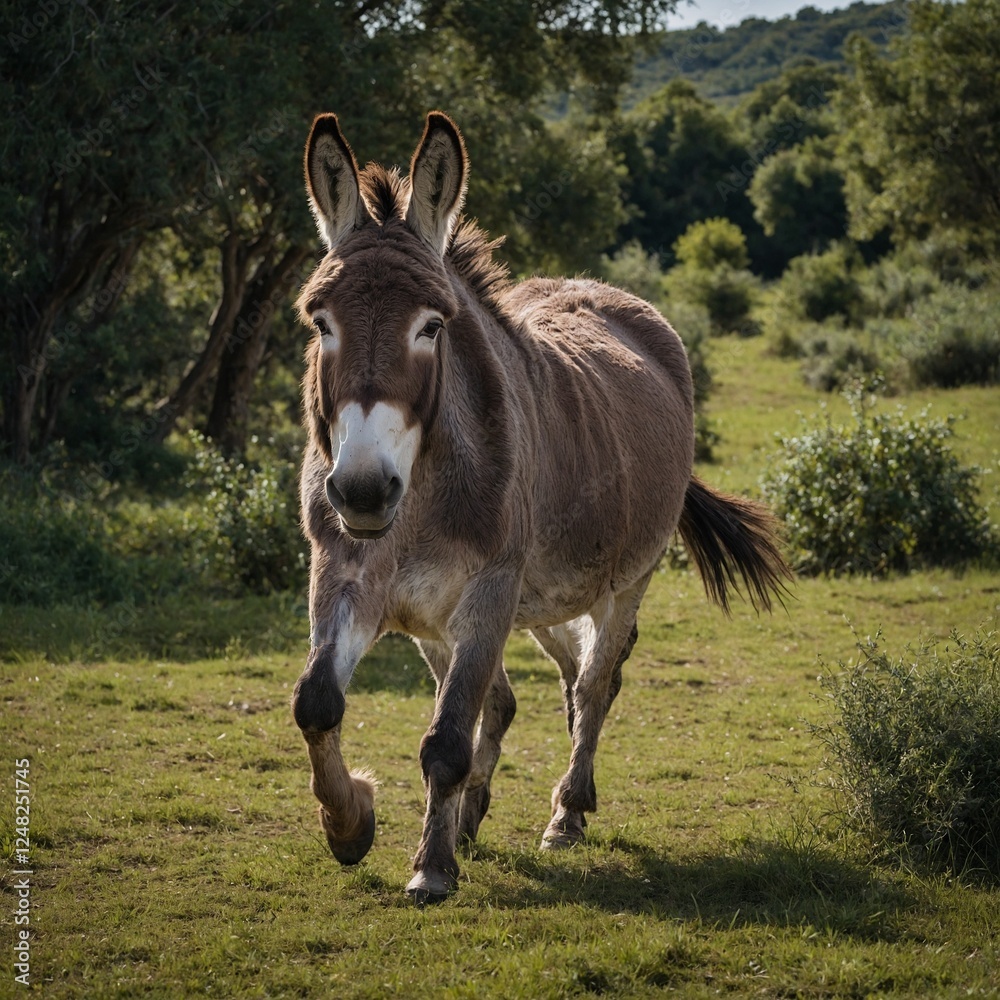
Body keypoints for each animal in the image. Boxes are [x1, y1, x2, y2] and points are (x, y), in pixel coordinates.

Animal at [291, 111, 792, 904]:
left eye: (432, 326)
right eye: (321, 323)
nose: (364, 490)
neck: (417, 508)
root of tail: (595, 288)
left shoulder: (490, 589)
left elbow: (446, 738)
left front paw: (431, 867)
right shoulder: (350, 576)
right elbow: (319, 702)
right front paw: (352, 824)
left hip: (622, 581)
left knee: (594, 685)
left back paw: (567, 813)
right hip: (531, 604)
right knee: (537, 687)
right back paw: (479, 815)